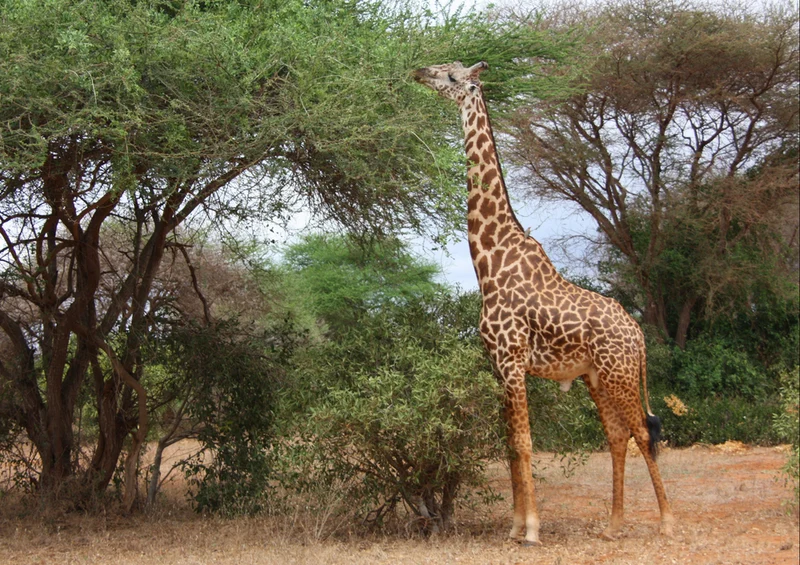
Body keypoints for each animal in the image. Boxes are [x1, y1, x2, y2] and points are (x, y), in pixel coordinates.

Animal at [412, 61, 675, 545]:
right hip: (597, 377)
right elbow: (509, 446)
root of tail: (638, 334)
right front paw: (515, 526)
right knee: (617, 436)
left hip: (620, 374)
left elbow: (524, 442)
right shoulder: (497, 364)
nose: (420, 71)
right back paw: (613, 524)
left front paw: (532, 530)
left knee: (644, 433)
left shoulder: (513, 360)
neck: (488, 260)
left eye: (453, 77)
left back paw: (667, 521)